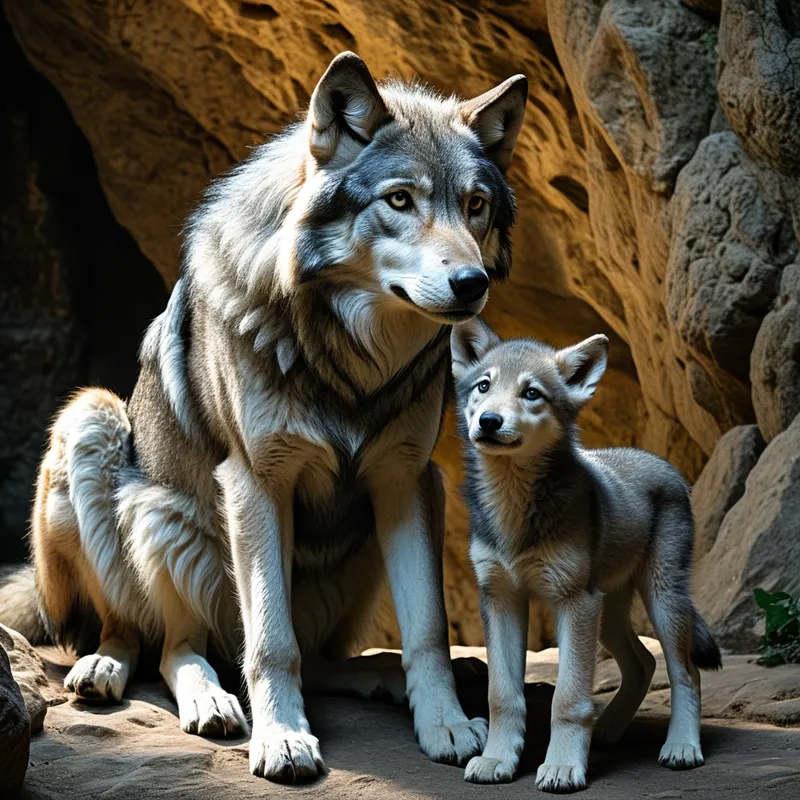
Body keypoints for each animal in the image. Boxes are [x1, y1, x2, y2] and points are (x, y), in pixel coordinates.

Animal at [3, 53, 529, 782]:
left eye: (475, 205)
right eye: (399, 200)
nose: (471, 284)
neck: (349, 363)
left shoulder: (408, 479)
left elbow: (426, 630)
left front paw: (445, 723)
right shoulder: (257, 480)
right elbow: (271, 643)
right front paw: (281, 737)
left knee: (319, 657)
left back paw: (382, 677)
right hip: (106, 442)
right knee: (165, 644)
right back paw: (161, 685)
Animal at [450, 319, 721, 793]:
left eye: (532, 393)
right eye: (484, 386)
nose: (489, 421)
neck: (514, 512)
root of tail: (660, 462)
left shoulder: (573, 603)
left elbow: (569, 697)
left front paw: (562, 766)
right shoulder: (502, 600)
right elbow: (502, 694)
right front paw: (498, 759)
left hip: (659, 602)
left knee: (685, 671)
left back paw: (682, 747)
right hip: (608, 614)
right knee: (643, 663)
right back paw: (610, 729)